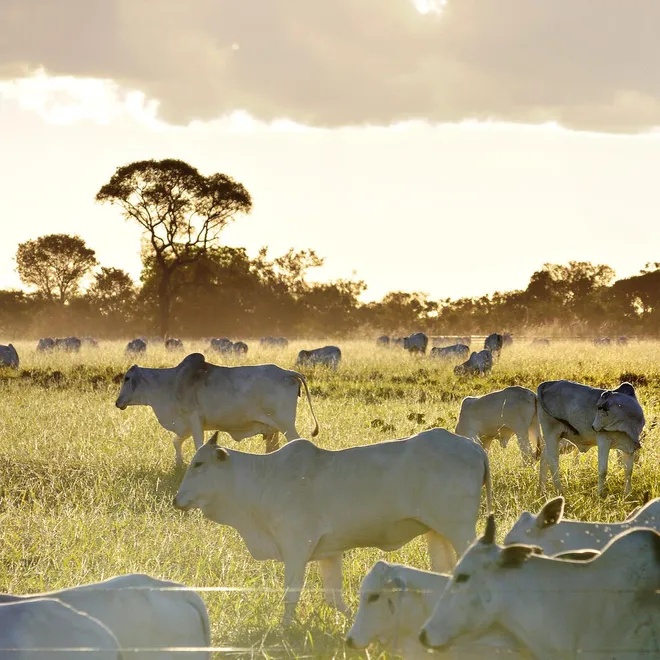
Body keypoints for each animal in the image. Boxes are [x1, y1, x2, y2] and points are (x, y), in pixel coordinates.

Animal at [116, 353, 319, 462]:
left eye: (127, 378)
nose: (118, 402)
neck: (171, 383)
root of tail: (288, 373)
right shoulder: (187, 424)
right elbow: (176, 441)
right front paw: (178, 463)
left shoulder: (193, 419)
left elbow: (197, 445)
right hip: (275, 429)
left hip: (286, 425)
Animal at [173, 427, 492, 626]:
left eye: (199, 464)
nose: (177, 500)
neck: (263, 480)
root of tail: (473, 447)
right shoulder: (329, 553)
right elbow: (334, 598)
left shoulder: (296, 548)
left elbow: (291, 594)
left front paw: (284, 630)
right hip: (436, 533)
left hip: (460, 530)